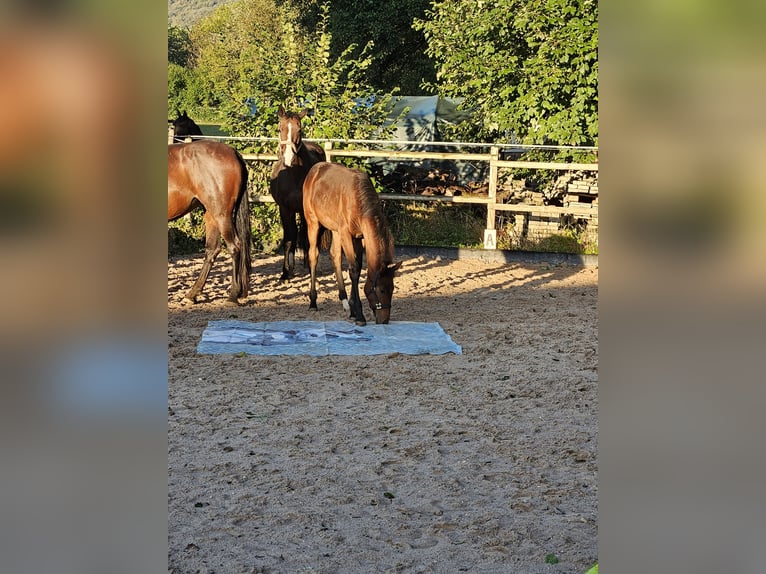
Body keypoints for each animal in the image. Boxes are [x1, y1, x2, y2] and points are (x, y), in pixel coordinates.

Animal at [168, 140, 252, 304]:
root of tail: (234, 153)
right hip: (211, 214)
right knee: (212, 249)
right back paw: (192, 294)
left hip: (221, 214)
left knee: (234, 247)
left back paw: (233, 295)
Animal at [270, 106, 328, 284]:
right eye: (279, 129)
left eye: (300, 129)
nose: (289, 158)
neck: (294, 174)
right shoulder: (285, 209)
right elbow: (289, 239)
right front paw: (285, 274)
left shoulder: (305, 210)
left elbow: (309, 240)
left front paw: (311, 271)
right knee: (294, 234)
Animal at [304, 162, 404, 326]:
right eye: (382, 290)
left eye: (393, 288)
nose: (384, 320)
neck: (358, 200)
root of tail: (315, 169)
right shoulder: (346, 234)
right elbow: (354, 270)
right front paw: (359, 315)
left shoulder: (359, 237)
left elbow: (357, 266)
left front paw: (353, 311)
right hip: (313, 222)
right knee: (313, 255)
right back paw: (313, 302)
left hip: (335, 231)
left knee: (335, 256)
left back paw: (343, 299)